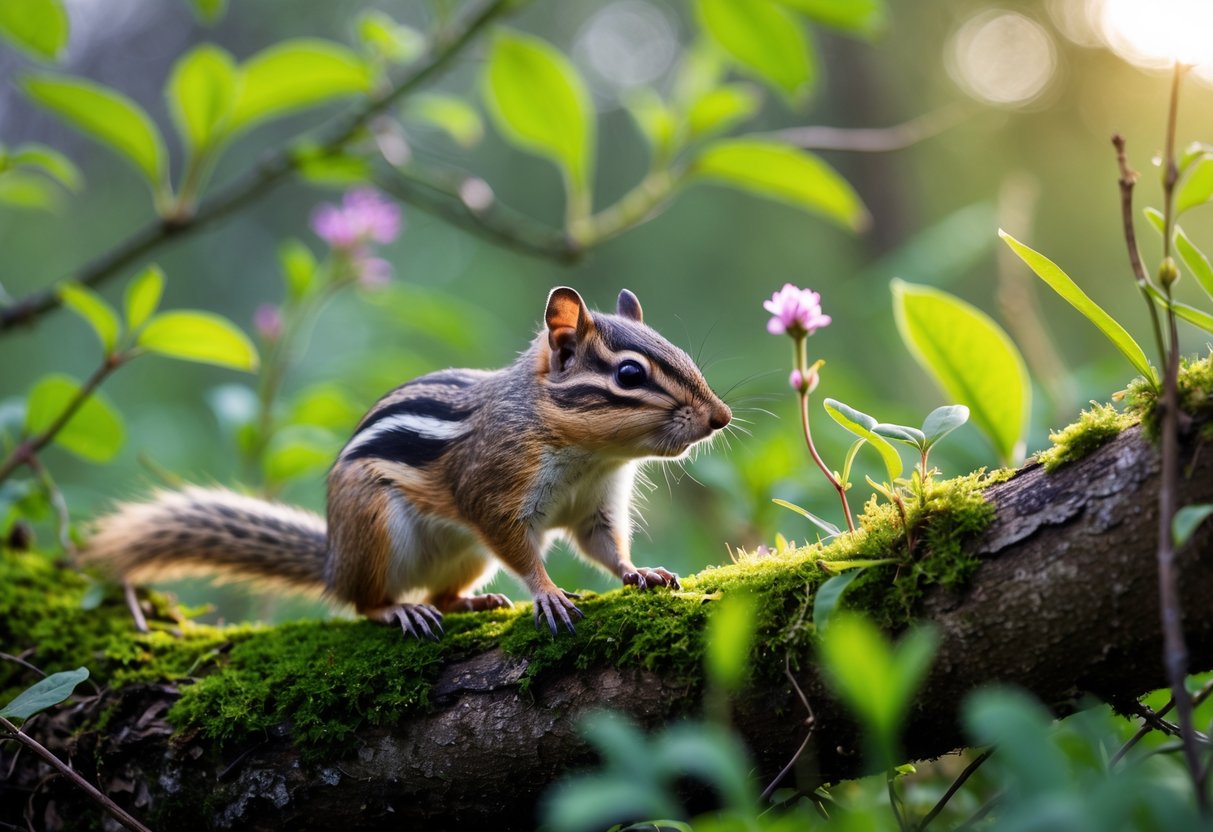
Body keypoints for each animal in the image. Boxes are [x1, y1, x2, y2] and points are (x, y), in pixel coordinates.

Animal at [82, 287, 732, 638]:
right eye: (630, 374)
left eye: (678, 353)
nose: (720, 417)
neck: (590, 457)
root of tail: (333, 560)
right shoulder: (493, 491)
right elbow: (522, 550)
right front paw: (547, 592)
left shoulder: (596, 504)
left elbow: (604, 547)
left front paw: (639, 573)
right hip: (376, 527)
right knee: (364, 601)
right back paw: (400, 611)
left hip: (466, 555)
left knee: (443, 594)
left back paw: (473, 601)